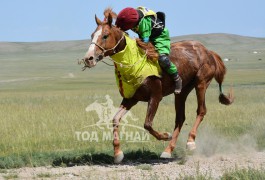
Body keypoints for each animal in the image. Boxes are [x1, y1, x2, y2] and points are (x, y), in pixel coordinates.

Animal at [82, 8, 233, 163]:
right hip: (182, 91)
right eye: (92, 35)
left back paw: (190, 142)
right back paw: (168, 150)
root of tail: (208, 51)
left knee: (201, 111)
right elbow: (115, 119)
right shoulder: (131, 99)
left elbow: (147, 124)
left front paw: (165, 135)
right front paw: (118, 153)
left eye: (105, 36)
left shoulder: (155, 96)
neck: (134, 61)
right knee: (180, 118)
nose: (88, 58)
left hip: (201, 83)